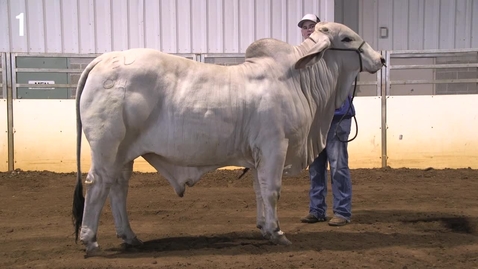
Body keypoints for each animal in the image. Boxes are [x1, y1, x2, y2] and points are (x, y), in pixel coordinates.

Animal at [72, 21, 384, 253]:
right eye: (346, 38)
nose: (380, 58)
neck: (299, 80)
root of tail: (103, 59)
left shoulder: (258, 155)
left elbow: (259, 190)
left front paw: (264, 228)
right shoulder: (274, 145)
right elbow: (272, 190)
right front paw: (277, 233)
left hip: (124, 153)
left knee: (118, 188)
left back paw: (130, 236)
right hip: (107, 147)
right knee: (97, 185)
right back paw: (90, 240)